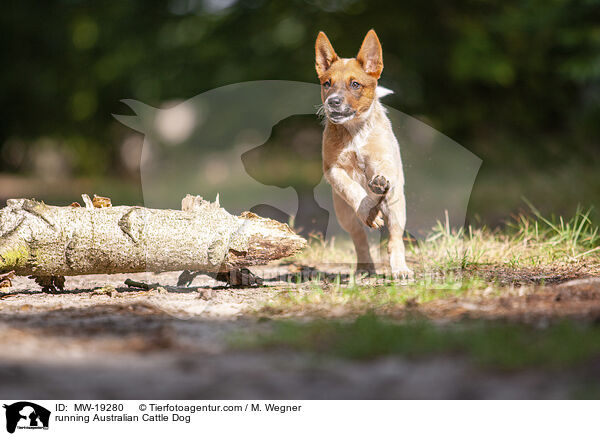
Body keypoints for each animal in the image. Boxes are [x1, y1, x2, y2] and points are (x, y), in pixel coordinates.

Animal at [316, 29, 410, 278]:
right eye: (327, 83)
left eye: (355, 84)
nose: (332, 102)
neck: (354, 131)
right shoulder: (333, 170)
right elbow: (353, 190)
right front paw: (367, 207)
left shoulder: (383, 160)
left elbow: (381, 173)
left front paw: (378, 184)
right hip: (345, 216)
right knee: (359, 239)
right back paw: (365, 267)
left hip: (397, 208)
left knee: (395, 239)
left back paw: (400, 268)